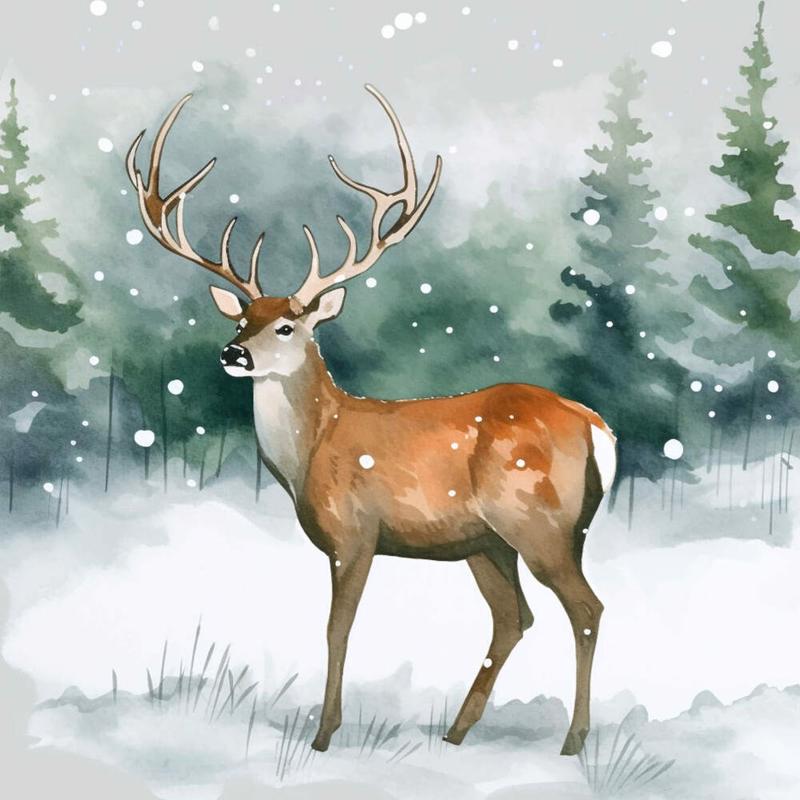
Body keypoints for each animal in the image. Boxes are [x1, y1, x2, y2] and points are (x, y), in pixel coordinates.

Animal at [126, 85, 616, 756]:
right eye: (242, 320)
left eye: (288, 326)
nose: (233, 354)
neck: (313, 446)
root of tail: (597, 425)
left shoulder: (354, 533)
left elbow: (338, 630)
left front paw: (323, 734)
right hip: (487, 541)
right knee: (514, 617)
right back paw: (456, 732)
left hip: (539, 522)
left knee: (586, 610)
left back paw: (572, 742)